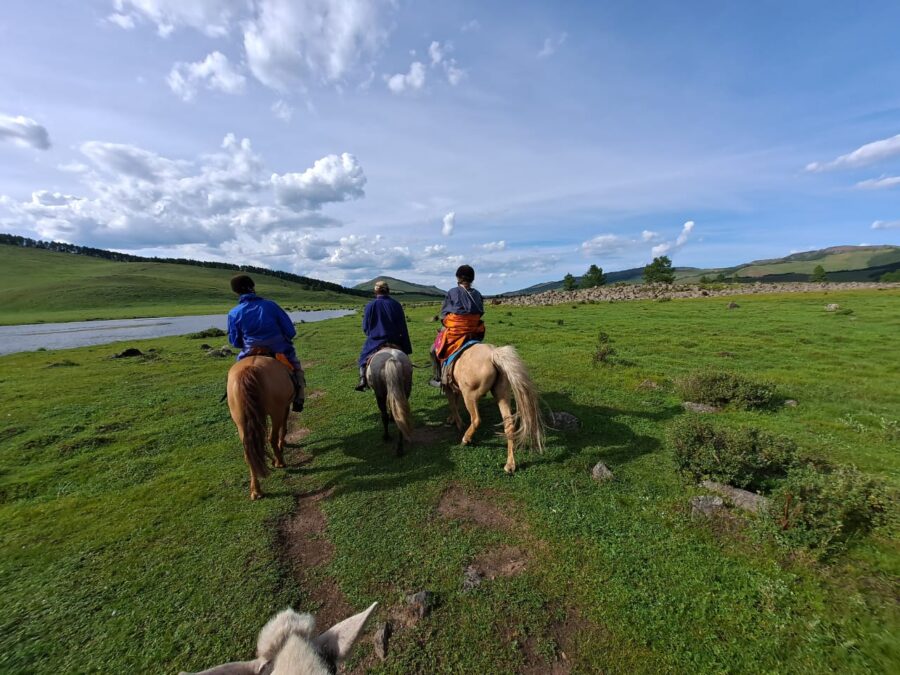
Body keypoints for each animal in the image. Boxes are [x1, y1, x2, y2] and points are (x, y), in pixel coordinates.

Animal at [225, 356, 302, 500]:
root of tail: (249, 369)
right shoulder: (284, 407)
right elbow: (284, 425)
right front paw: (282, 443)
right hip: (276, 411)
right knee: (271, 437)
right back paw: (279, 461)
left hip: (240, 421)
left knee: (249, 452)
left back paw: (256, 490)